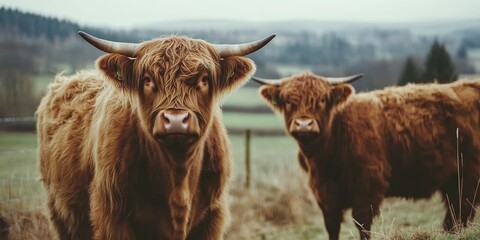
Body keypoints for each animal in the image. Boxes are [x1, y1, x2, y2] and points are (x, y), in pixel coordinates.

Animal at [253, 73, 478, 240]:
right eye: (288, 102)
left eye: (322, 100)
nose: (304, 125)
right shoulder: (325, 195)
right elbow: (332, 227)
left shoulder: (368, 186)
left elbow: (362, 224)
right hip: (453, 180)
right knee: (454, 213)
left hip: (468, 175)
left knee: (462, 211)